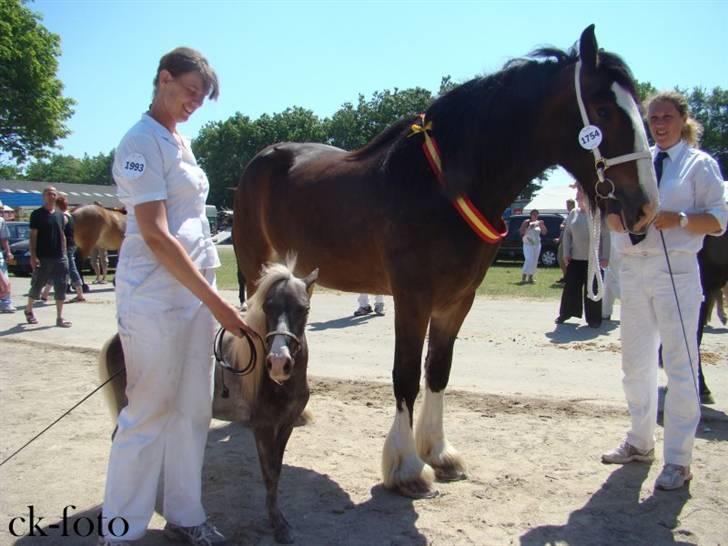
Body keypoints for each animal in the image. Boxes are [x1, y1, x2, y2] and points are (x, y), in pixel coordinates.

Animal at [99, 258, 318, 540]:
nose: (279, 363)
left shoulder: (286, 425)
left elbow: (277, 470)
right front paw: (278, 524)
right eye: (267, 307)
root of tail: (117, 340)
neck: (276, 383)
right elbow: (269, 473)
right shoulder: (263, 428)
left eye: (304, 309)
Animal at [233, 26, 660, 498]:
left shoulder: (457, 300)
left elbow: (438, 371)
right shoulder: (412, 298)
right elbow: (404, 375)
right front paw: (406, 467)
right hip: (256, 265)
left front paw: (438, 452)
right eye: (604, 108)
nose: (645, 206)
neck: (443, 188)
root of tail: (262, 158)